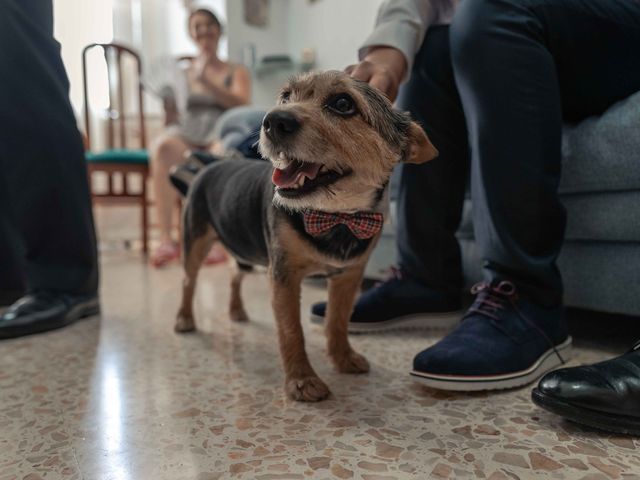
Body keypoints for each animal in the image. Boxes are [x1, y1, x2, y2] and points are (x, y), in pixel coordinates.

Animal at [172, 70, 438, 402]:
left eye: (343, 103)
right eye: (286, 97)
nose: (272, 121)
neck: (335, 216)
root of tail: (209, 166)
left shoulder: (348, 275)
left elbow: (337, 321)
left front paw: (343, 358)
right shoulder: (283, 275)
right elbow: (291, 331)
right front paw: (301, 380)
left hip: (244, 251)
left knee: (235, 275)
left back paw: (237, 311)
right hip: (195, 241)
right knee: (188, 281)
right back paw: (184, 319)